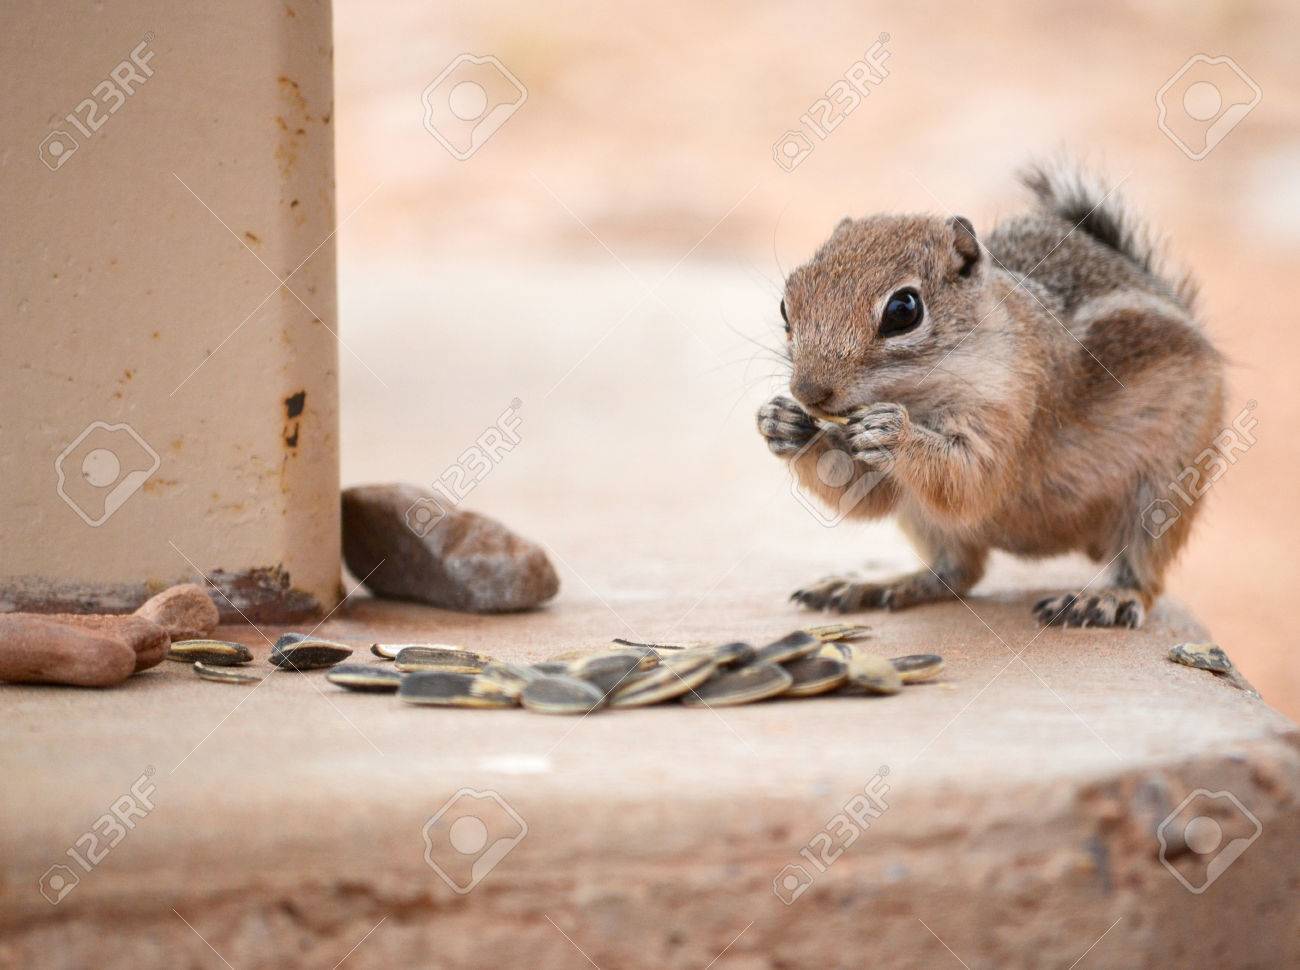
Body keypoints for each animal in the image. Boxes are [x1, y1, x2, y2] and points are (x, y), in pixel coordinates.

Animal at [759, 160, 1222, 626]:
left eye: (903, 310)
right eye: (786, 305)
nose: (808, 392)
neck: (920, 393)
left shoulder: (1014, 404)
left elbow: (972, 478)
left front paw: (894, 433)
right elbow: (868, 494)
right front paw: (783, 424)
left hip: (1164, 491)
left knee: (1142, 574)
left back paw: (1105, 598)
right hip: (924, 520)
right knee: (957, 573)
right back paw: (876, 586)